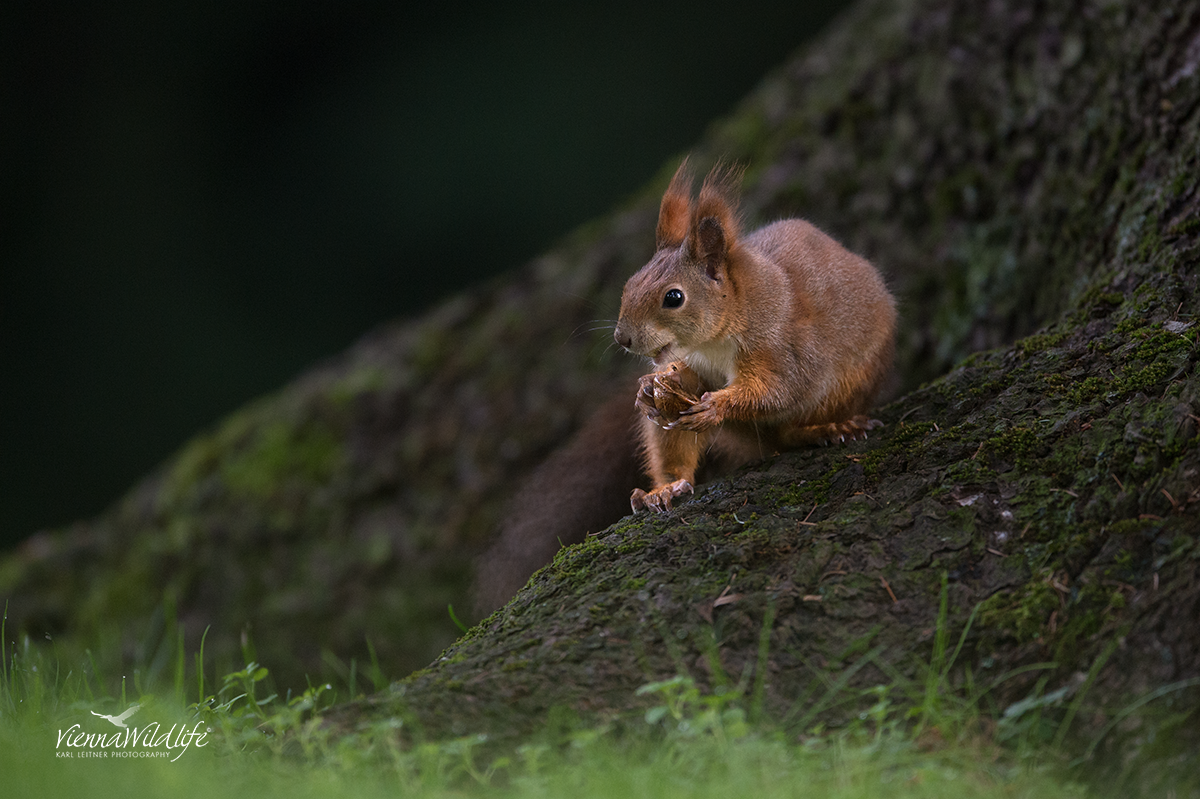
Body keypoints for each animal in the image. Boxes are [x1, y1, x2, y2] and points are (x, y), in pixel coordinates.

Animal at [614, 161, 897, 511]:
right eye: (630, 284)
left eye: (674, 297)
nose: (621, 338)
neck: (710, 344)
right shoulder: (694, 360)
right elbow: (689, 382)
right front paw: (653, 387)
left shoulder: (779, 345)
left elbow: (777, 389)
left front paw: (716, 406)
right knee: (673, 451)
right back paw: (667, 488)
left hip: (847, 388)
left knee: (789, 434)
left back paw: (825, 428)